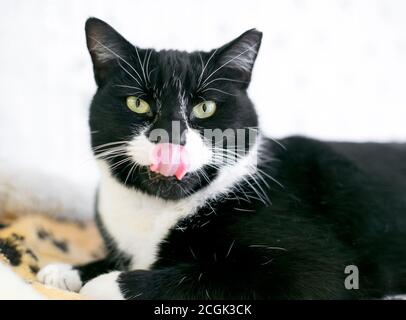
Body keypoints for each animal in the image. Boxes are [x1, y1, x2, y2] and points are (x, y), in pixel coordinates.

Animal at [37, 16, 406, 298]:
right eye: (138, 103)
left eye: (205, 108)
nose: (170, 137)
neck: (157, 211)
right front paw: (67, 271)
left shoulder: (320, 266)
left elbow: (212, 276)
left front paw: (102, 283)